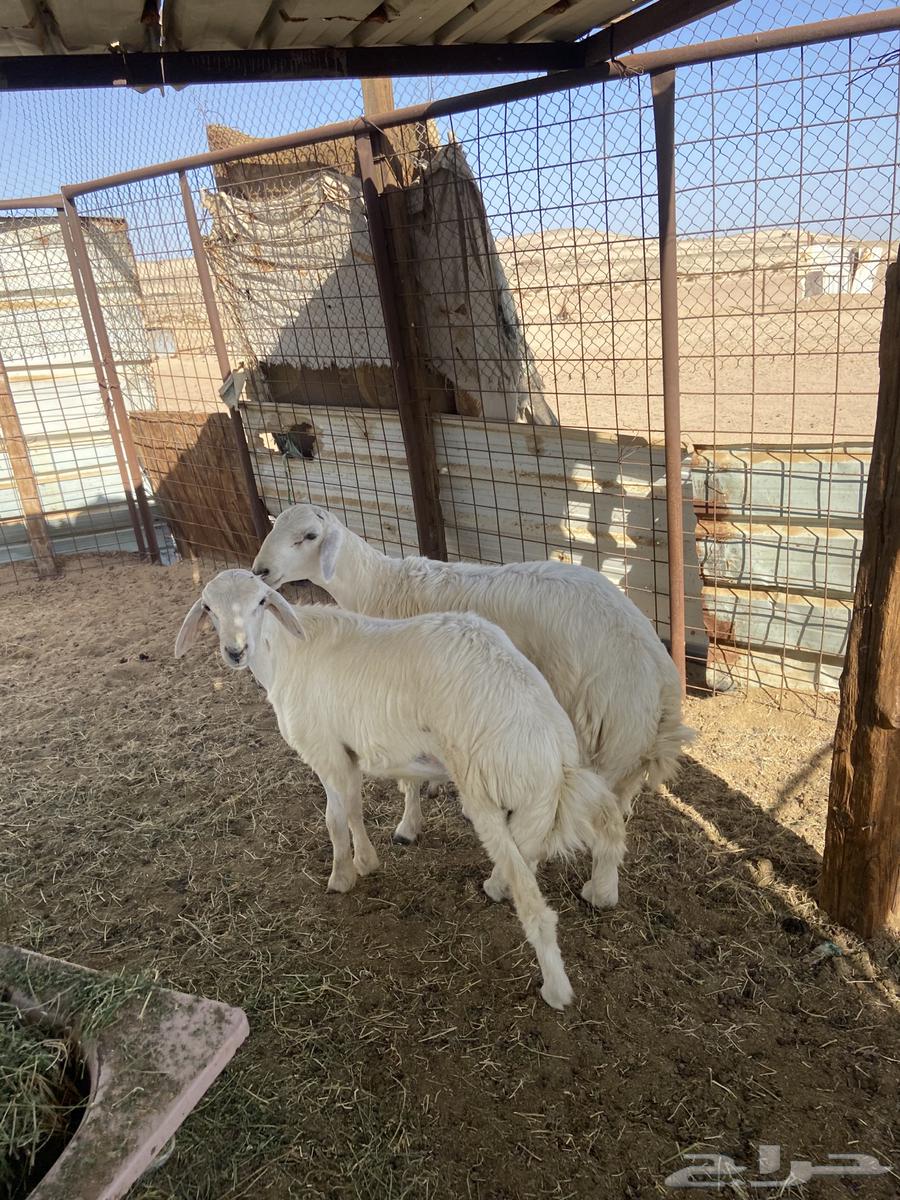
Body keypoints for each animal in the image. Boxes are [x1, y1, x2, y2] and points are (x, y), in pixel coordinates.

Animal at [175, 569, 626, 1009]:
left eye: (261, 601)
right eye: (209, 608)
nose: (235, 651)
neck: (285, 653)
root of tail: (553, 750)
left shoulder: (325, 750)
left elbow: (334, 818)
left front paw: (342, 876)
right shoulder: (348, 755)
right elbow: (354, 810)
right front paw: (366, 861)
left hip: (485, 787)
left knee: (534, 900)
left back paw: (555, 989)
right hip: (555, 793)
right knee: (601, 831)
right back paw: (594, 891)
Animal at [251, 504, 694, 904]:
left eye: (309, 536)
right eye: (275, 525)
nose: (260, 572)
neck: (379, 586)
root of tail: (660, 677)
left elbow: (407, 781)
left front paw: (408, 825)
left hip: (595, 727)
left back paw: (575, 890)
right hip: (621, 750)